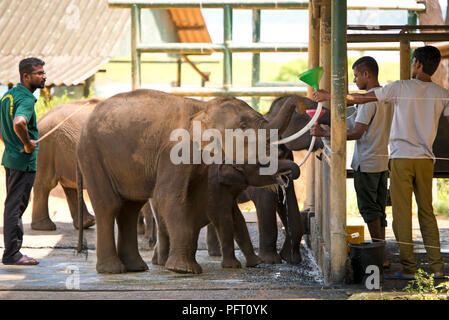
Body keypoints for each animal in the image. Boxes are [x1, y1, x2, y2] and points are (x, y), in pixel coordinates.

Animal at [77, 89, 302, 274]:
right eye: (244, 127)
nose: (299, 103)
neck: (203, 108)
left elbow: (196, 199)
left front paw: (185, 267)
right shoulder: (175, 150)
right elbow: (168, 196)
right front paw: (184, 270)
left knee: (130, 208)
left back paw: (136, 268)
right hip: (92, 155)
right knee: (109, 205)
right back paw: (113, 270)